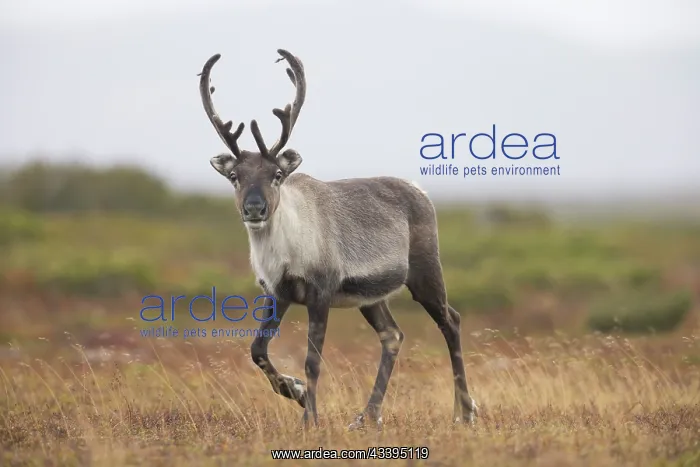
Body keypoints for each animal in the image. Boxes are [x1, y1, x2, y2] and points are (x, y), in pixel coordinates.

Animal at [197, 49, 478, 430]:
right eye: (234, 176)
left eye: (277, 174)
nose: (254, 209)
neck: (283, 249)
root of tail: (420, 190)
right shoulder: (278, 293)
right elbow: (257, 350)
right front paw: (295, 392)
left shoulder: (321, 292)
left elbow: (312, 361)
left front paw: (309, 419)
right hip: (371, 297)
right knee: (392, 335)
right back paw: (367, 415)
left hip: (425, 272)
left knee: (451, 321)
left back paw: (465, 411)